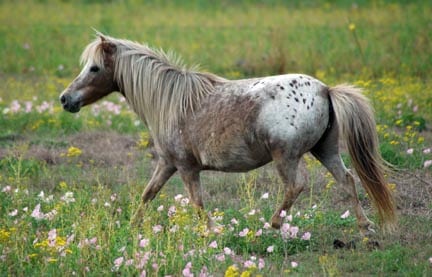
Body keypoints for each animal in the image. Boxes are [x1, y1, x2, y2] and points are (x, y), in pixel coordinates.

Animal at [59, 33, 396, 234]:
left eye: (94, 68)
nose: (65, 99)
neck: (171, 101)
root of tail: (326, 90)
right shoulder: (167, 163)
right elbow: (148, 194)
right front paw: (131, 226)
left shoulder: (185, 167)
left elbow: (197, 203)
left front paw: (212, 232)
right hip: (325, 151)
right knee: (347, 181)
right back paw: (365, 228)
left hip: (285, 156)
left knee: (295, 186)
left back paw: (272, 224)